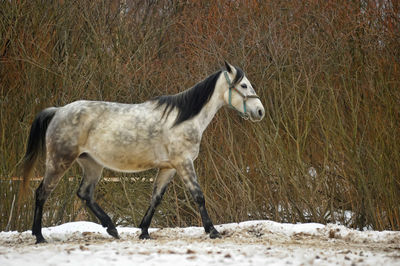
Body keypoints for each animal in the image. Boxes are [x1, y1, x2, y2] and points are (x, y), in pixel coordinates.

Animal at [21, 61, 266, 243]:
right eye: (244, 86)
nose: (260, 111)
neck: (183, 119)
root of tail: (58, 111)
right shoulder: (184, 163)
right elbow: (198, 195)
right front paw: (212, 231)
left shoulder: (169, 168)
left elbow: (156, 198)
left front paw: (144, 231)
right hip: (59, 161)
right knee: (42, 193)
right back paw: (39, 236)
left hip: (92, 164)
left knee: (84, 194)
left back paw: (112, 229)